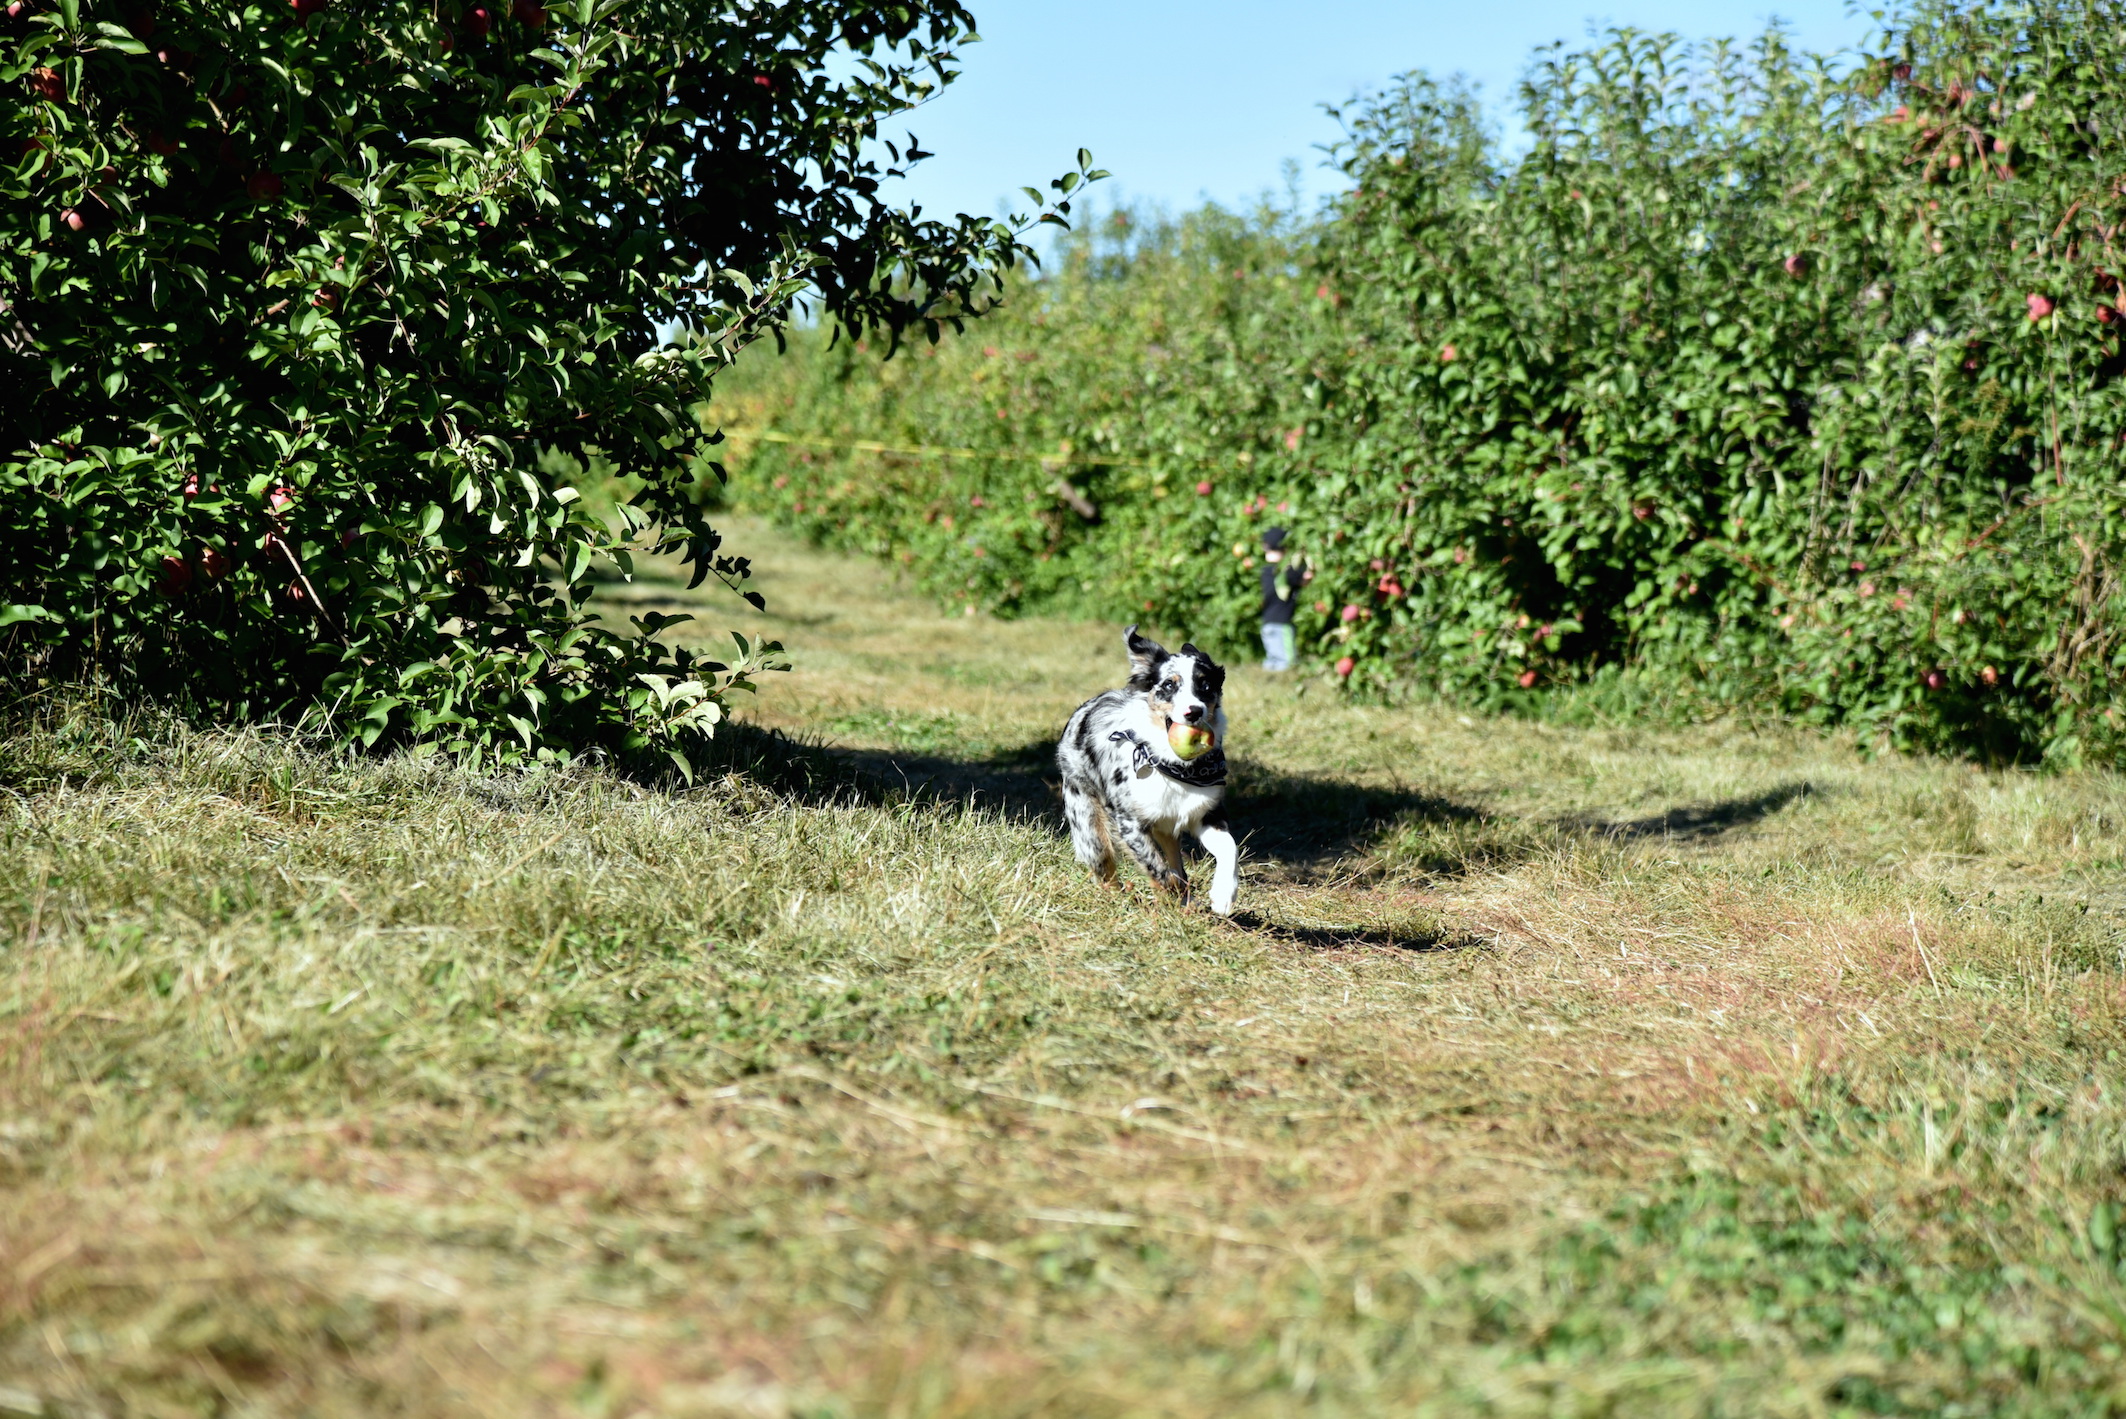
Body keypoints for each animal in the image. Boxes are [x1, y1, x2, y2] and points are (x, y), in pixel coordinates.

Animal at [1054, 625, 1241, 914]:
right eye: (1168, 685)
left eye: (1206, 685)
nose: (1194, 712)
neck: (1173, 765)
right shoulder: (1129, 822)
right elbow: (1157, 867)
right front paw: (1171, 896)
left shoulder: (1204, 811)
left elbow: (1228, 848)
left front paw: (1223, 895)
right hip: (1088, 823)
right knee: (1105, 868)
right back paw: (1119, 896)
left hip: (1166, 828)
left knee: (1174, 859)